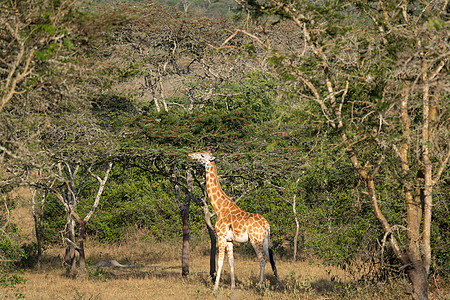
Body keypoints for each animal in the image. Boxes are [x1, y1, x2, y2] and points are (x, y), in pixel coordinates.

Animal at [187, 150, 278, 290]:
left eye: (202, 155)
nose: (190, 155)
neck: (219, 207)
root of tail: (266, 225)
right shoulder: (229, 240)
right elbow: (231, 261)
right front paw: (233, 286)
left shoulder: (221, 236)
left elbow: (219, 261)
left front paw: (215, 287)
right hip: (265, 240)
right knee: (271, 256)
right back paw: (277, 283)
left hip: (255, 240)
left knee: (262, 259)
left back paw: (260, 285)